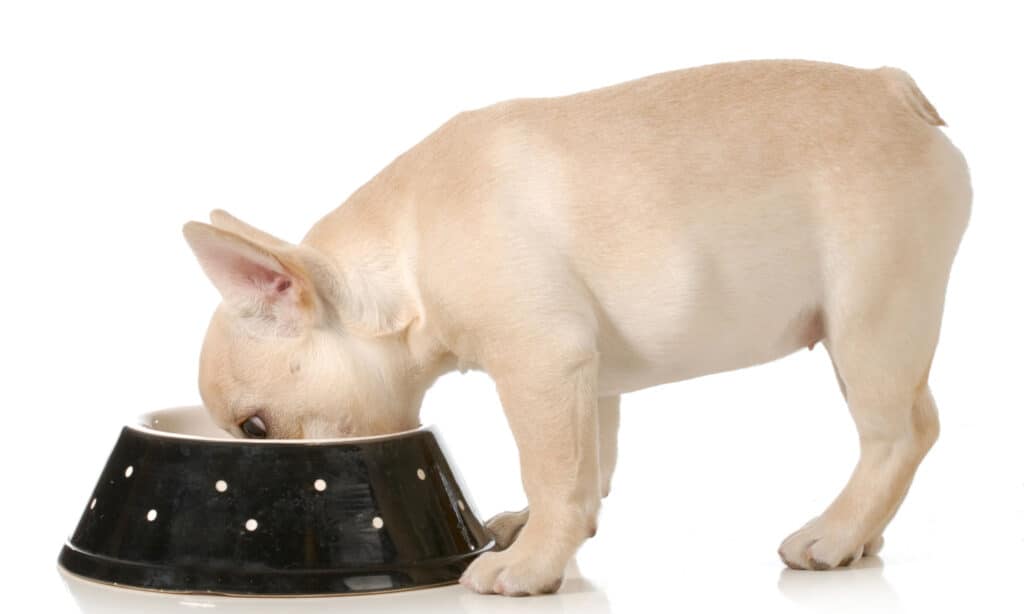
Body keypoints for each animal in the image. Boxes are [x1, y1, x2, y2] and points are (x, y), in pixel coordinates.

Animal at [182, 61, 966, 593]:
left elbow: (553, 468)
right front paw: (536, 532)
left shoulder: (538, 362)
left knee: (899, 436)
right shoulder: (586, 376)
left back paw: (833, 533)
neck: (402, 256)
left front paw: (529, 565)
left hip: (870, 322)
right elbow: (587, 465)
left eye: (255, 428)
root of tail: (895, 91)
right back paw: (863, 535)